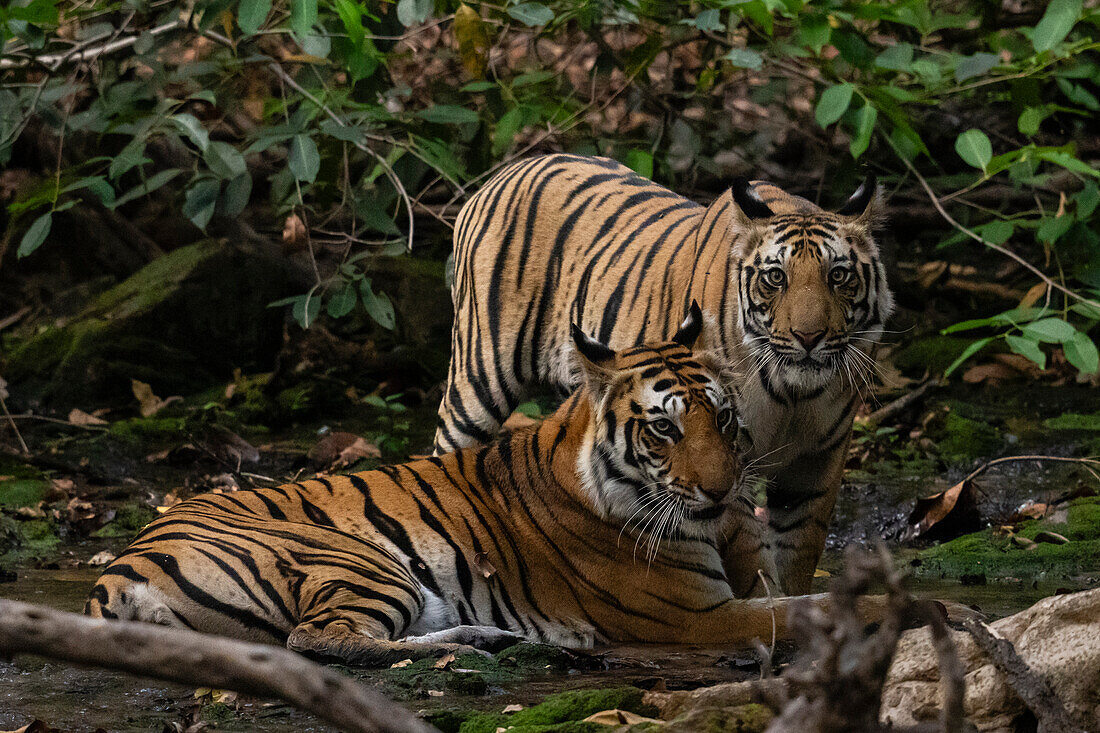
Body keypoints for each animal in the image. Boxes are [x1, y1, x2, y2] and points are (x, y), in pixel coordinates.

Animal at [83, 303, 875, 660]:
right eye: (663, 429)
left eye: (725, 420)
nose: (717, 493)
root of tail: (115, 573)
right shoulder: (694, 615)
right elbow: (807, 608)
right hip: (360, 558)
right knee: (324, 640)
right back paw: (479, 641)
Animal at [433, 152, 888, 594]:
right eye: (775, 277)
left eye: (839, 275)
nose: (808, 337)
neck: (794, 394)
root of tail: (499, 176)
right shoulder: (729, 458)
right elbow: (750, 555)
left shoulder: (816, 463)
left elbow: (797, 555)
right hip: (476, 385)